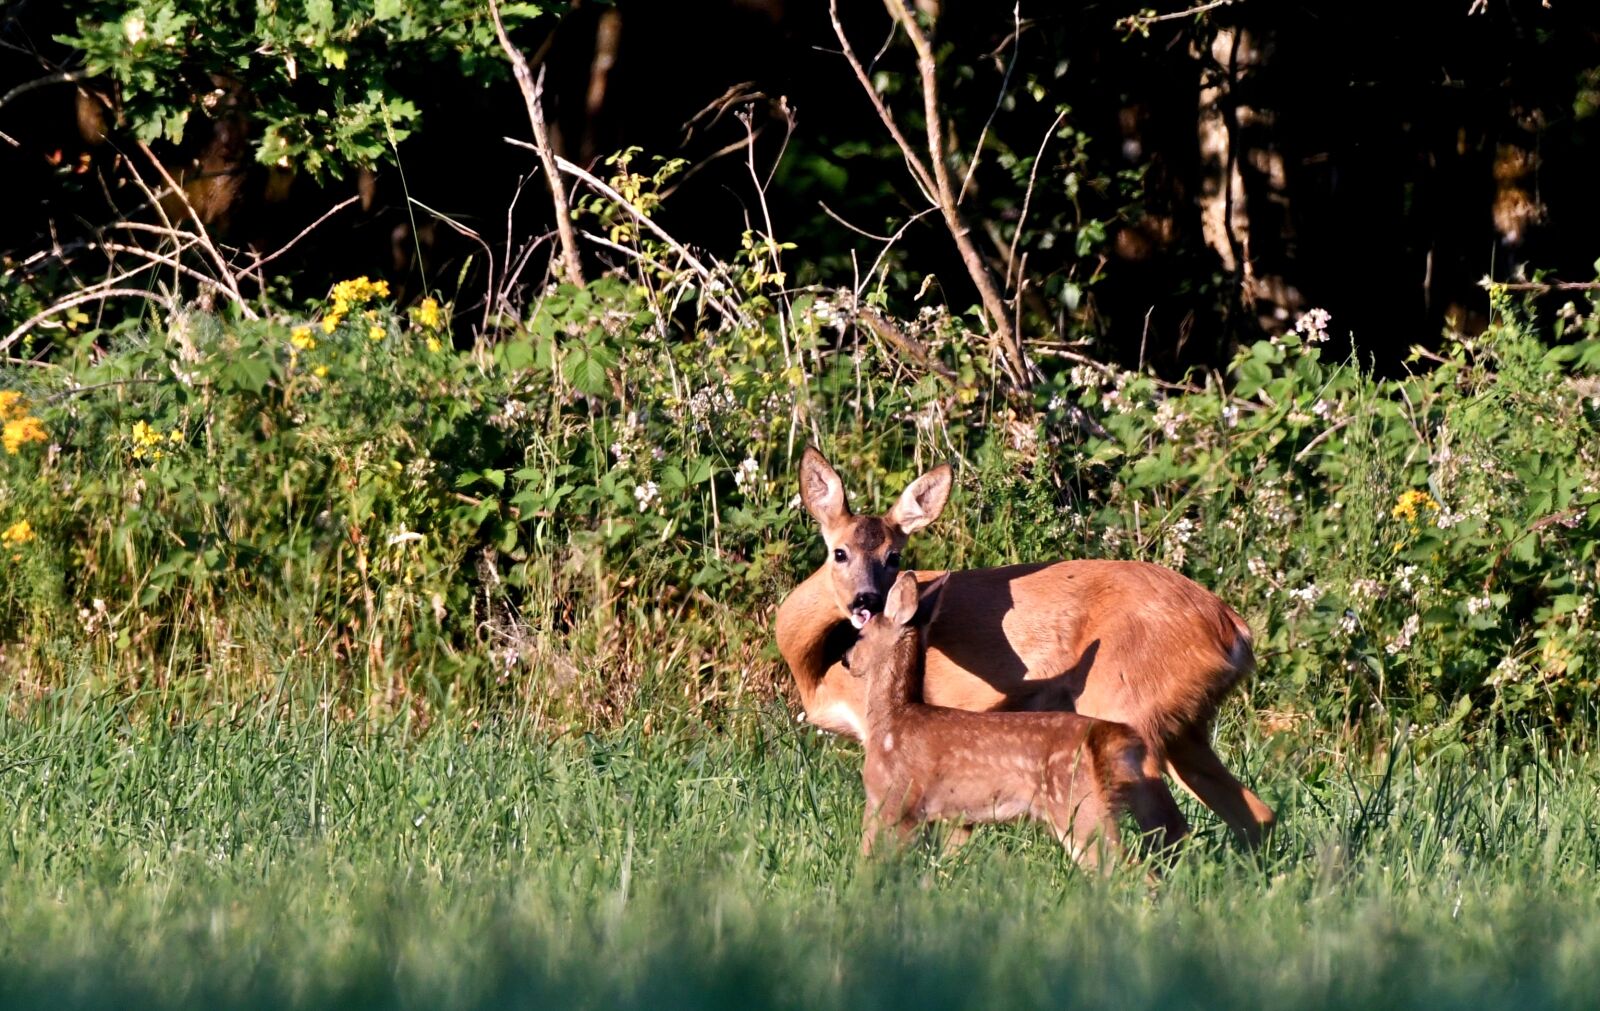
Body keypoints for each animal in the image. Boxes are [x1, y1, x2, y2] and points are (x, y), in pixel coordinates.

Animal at [850, 570, 1188, 868]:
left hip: (1079, 807)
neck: (891, 720)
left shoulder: (892, 799)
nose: (847, 661)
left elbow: (871, 860)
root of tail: (1105, 739)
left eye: (860, 635)